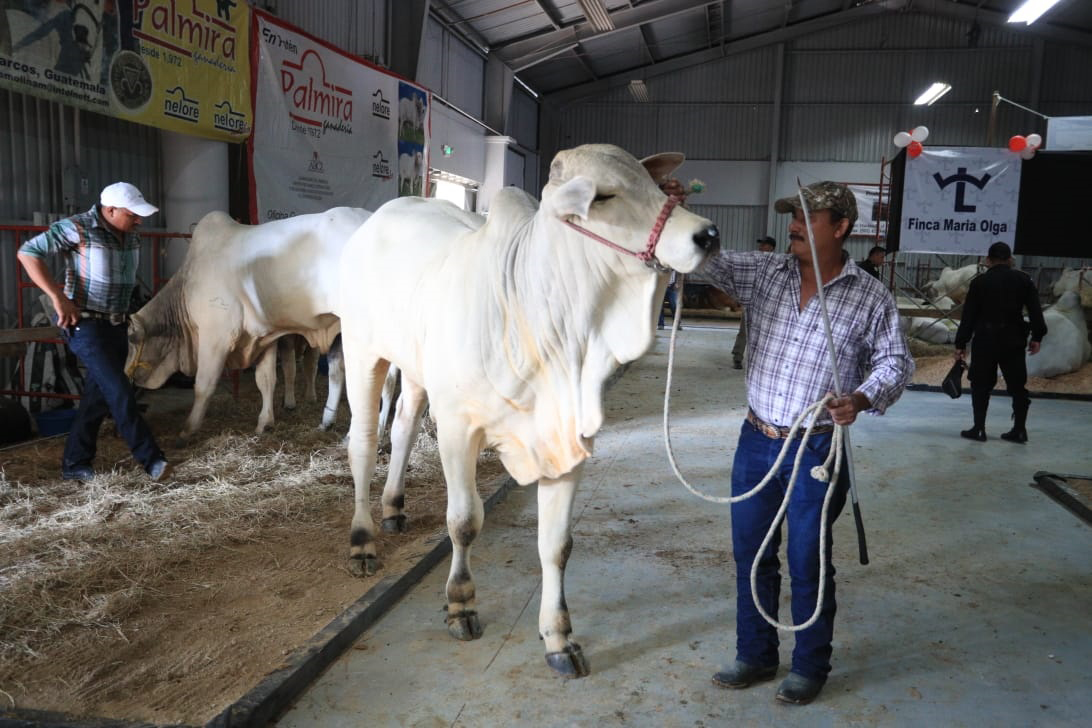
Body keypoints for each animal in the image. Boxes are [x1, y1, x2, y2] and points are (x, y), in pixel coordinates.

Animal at [127, 207, 371, 440]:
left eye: (129, 339)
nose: (127, 375)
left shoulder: (215, 338)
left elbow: (203, 385)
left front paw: (188, 430)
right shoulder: (264, 338)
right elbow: (266, 380)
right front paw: (265, 423)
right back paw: (329, 423)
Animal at [336, 145, 720, 681]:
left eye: (659, 187)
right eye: (604, 196)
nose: (706, 235)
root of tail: (383, 214)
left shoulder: (569, 438)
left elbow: (556, 544)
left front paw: (559, 637)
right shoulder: (458, 428)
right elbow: (464, 521)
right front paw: (460, 605)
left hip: (415, 367)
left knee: (405, 426)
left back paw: (394, 508)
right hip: (360, 349)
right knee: (366, 442)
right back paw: (363, 540)